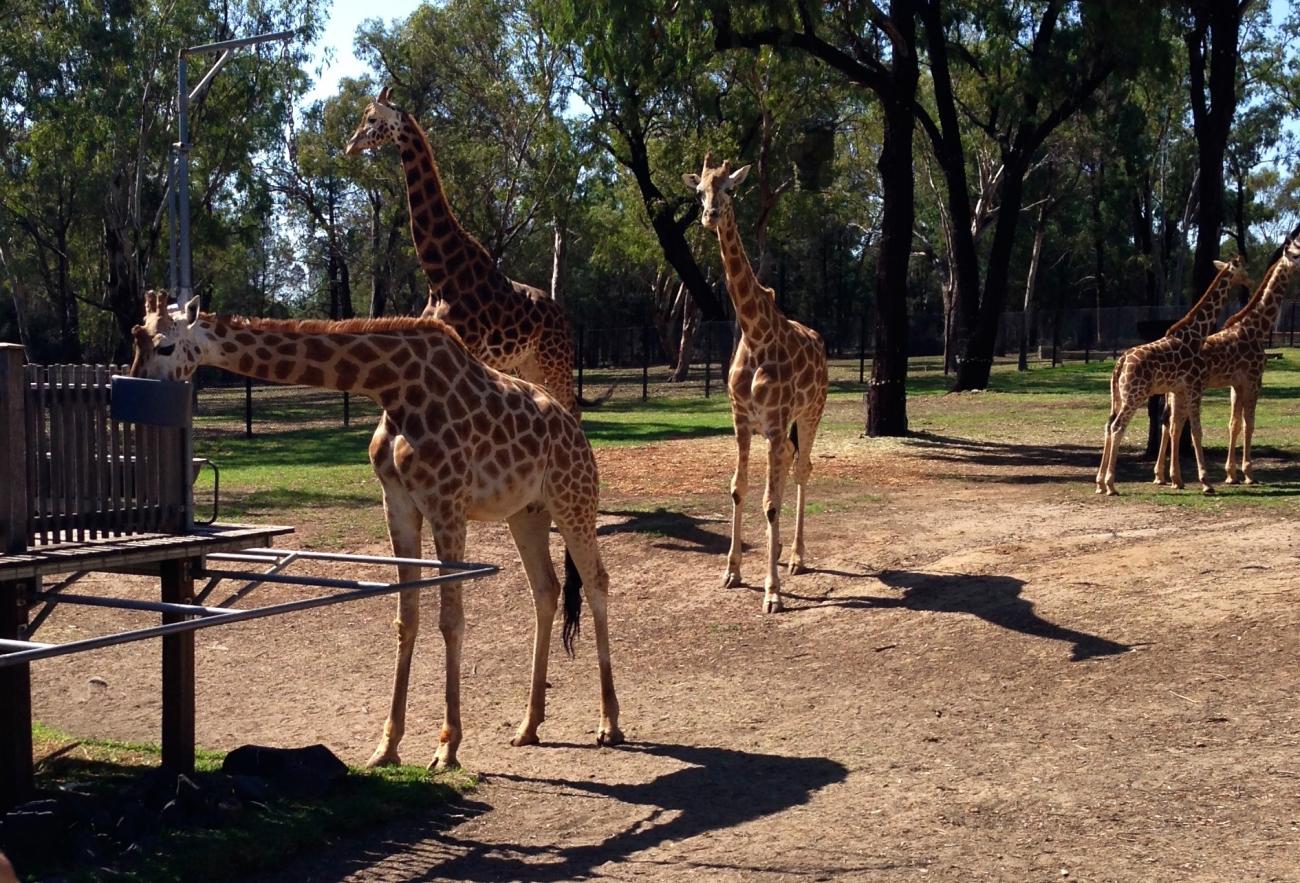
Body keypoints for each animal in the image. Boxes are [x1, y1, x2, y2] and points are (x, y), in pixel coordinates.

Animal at [129, 293, 621, 769]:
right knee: (546, 589)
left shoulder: (447, 502)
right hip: (527, 512)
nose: (135, 398)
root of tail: (573, 427)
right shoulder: (398, 502)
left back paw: (609, 724)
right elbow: (407, 619)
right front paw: (387, 747)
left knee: (596, 581)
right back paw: (528, 726)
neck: (391, 386)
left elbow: (451, 621)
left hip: (573, 496)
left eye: (165, 346)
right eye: (135, 340)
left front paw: (447, 747)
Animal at [338, 86, 595, 413]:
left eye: (371, 118)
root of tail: (563, 315)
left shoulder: (466, 349)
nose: (350, 145)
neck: (439, 274)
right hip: (528, 362)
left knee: (572, 409)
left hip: (555, 357)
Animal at [686, 153, 826, 613]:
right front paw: (732, 572)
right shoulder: (742, 420)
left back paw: (796, 557)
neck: (755, 331)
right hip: (780, 429)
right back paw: (780, 551)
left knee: (801, 469)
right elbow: (739, 489)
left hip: (810, 413)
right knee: (785, 470)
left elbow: (768, 501)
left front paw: (772, 592)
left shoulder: (777, 419)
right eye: (699, 191)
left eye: (729, 188)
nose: (710, 215)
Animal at [1092, 253, 1253, 496]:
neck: (1197, 333)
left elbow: (1176, 428)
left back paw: (1101, 483)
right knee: (1117, 427)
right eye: (1243, 268)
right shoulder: (1195, 387)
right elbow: (1196, 431)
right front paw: (1206, 482)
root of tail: (1120, 363)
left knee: (1108, 425)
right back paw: (1111, 484)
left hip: (1118, 396)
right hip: (1134, 395)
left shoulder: (1178, 390)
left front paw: (1177, 479)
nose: (1251, 282)